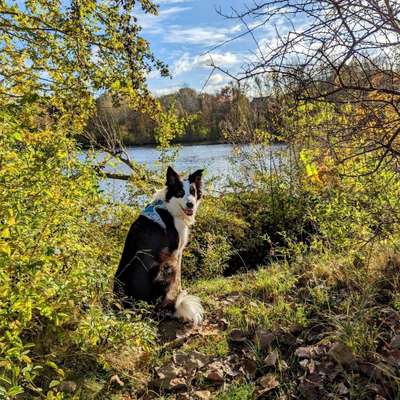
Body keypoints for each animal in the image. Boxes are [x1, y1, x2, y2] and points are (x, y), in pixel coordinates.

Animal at [114, 166, 205, 324]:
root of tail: (134, 307)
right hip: (166, 267)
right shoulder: (176, 251)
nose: (190, 204)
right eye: (180, 193)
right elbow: (179, 278)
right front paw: (178, 293)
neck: (170, 207)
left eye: (193, 191)